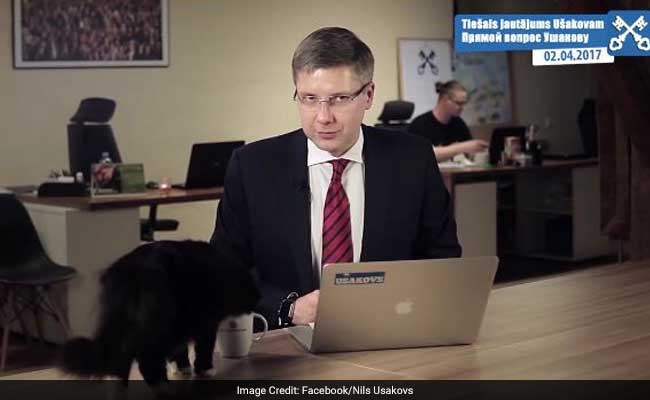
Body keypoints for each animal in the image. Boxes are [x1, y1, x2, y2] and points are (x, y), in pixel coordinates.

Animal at [59, 239, 258, 386]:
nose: (257, 298)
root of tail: (132, 269)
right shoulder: (206, 318)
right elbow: (203, 345)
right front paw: (203, 369)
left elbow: (181, 349)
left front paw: (182, 368)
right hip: (163, 319)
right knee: (148, 359)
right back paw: (162, 385)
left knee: (121, 359)